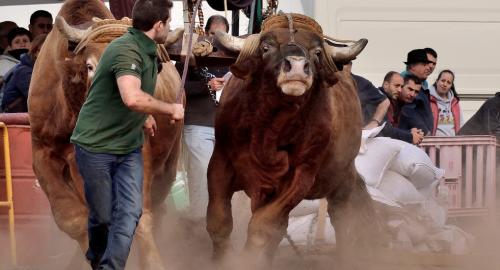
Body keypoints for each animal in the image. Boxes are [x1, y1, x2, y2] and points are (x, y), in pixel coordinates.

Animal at [207, 13, 378, 266]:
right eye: (266, 47)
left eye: (317, 52)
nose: (297, 66)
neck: (269, 131)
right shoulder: (220, 161)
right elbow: (218, 221)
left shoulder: (301, 176)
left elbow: (262, 227)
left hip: (342, 178)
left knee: (343, 217)